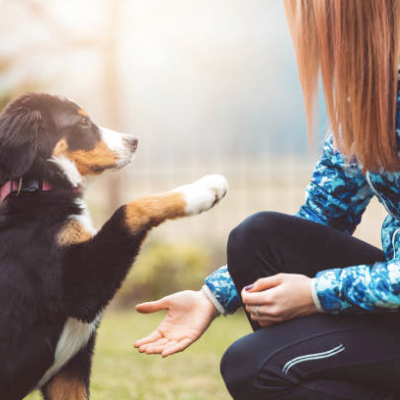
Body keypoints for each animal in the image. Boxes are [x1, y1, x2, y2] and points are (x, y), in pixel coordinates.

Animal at [0, 92, 227, 398]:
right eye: (83, 122)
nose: (134, 140)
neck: (35, 184)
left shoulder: (70, 370)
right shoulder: (80, 285)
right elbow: (130, 207)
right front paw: (203, 190)